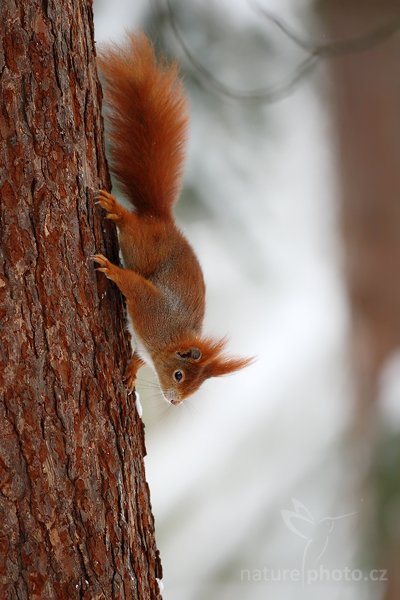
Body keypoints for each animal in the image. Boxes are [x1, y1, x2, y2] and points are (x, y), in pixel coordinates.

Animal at [92, 34, 252, 408]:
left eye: (196, 389)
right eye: (180, 375)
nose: (175, 402)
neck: (168, 340)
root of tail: (161, 218)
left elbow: (137, 357)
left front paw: (132, 371)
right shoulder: (153, 310)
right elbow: (134, 286)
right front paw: (113, 270)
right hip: (142, 242)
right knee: (130, 225)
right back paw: (117, 209)